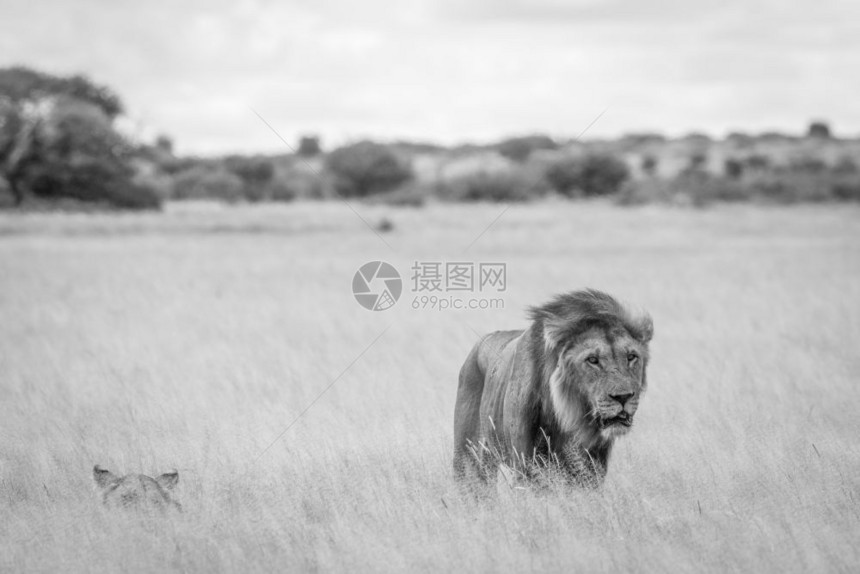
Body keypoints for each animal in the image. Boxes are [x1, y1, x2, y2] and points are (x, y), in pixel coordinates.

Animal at [456, 290, 652, 488]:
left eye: (631, 357)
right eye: (592, 360)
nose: (623, 397)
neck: (568, 417)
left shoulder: (592, 467)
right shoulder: (525, 463)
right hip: (468, 459)